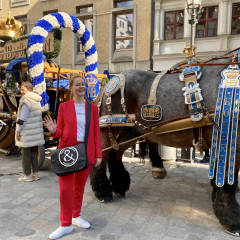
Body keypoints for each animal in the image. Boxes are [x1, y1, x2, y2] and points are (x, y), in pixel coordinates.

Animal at [89, 57, 240, 235]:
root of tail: (113, 79)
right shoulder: (229, 138)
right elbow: (229, 181)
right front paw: (232, 219)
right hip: (109, 127)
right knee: (102, 157)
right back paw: (103, 191)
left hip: (131, 130)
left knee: (114, 155)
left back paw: (120, 184)